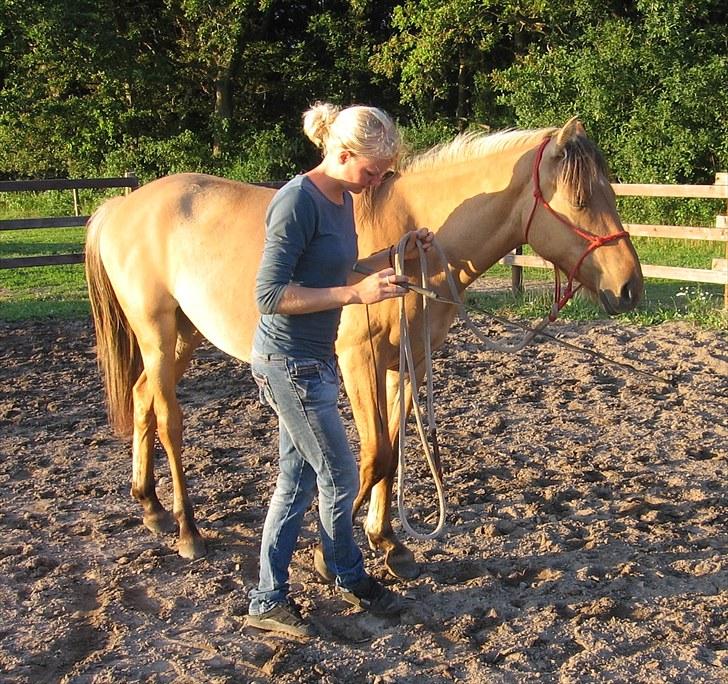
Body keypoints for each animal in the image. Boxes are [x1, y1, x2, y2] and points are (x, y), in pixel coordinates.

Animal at [84, 120, 644, 580]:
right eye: (579, 199)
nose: (630, 288)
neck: (412, 243)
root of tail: (119, 206)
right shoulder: (358, 362)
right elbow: (373, 456)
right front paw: (329, 547)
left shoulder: (406, 365)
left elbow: (392, 454)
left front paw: (388, 541)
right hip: (157, 334)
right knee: (169, 420)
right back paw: (188, 530)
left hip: (185, 335)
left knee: (141, 398)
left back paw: (151, 507)